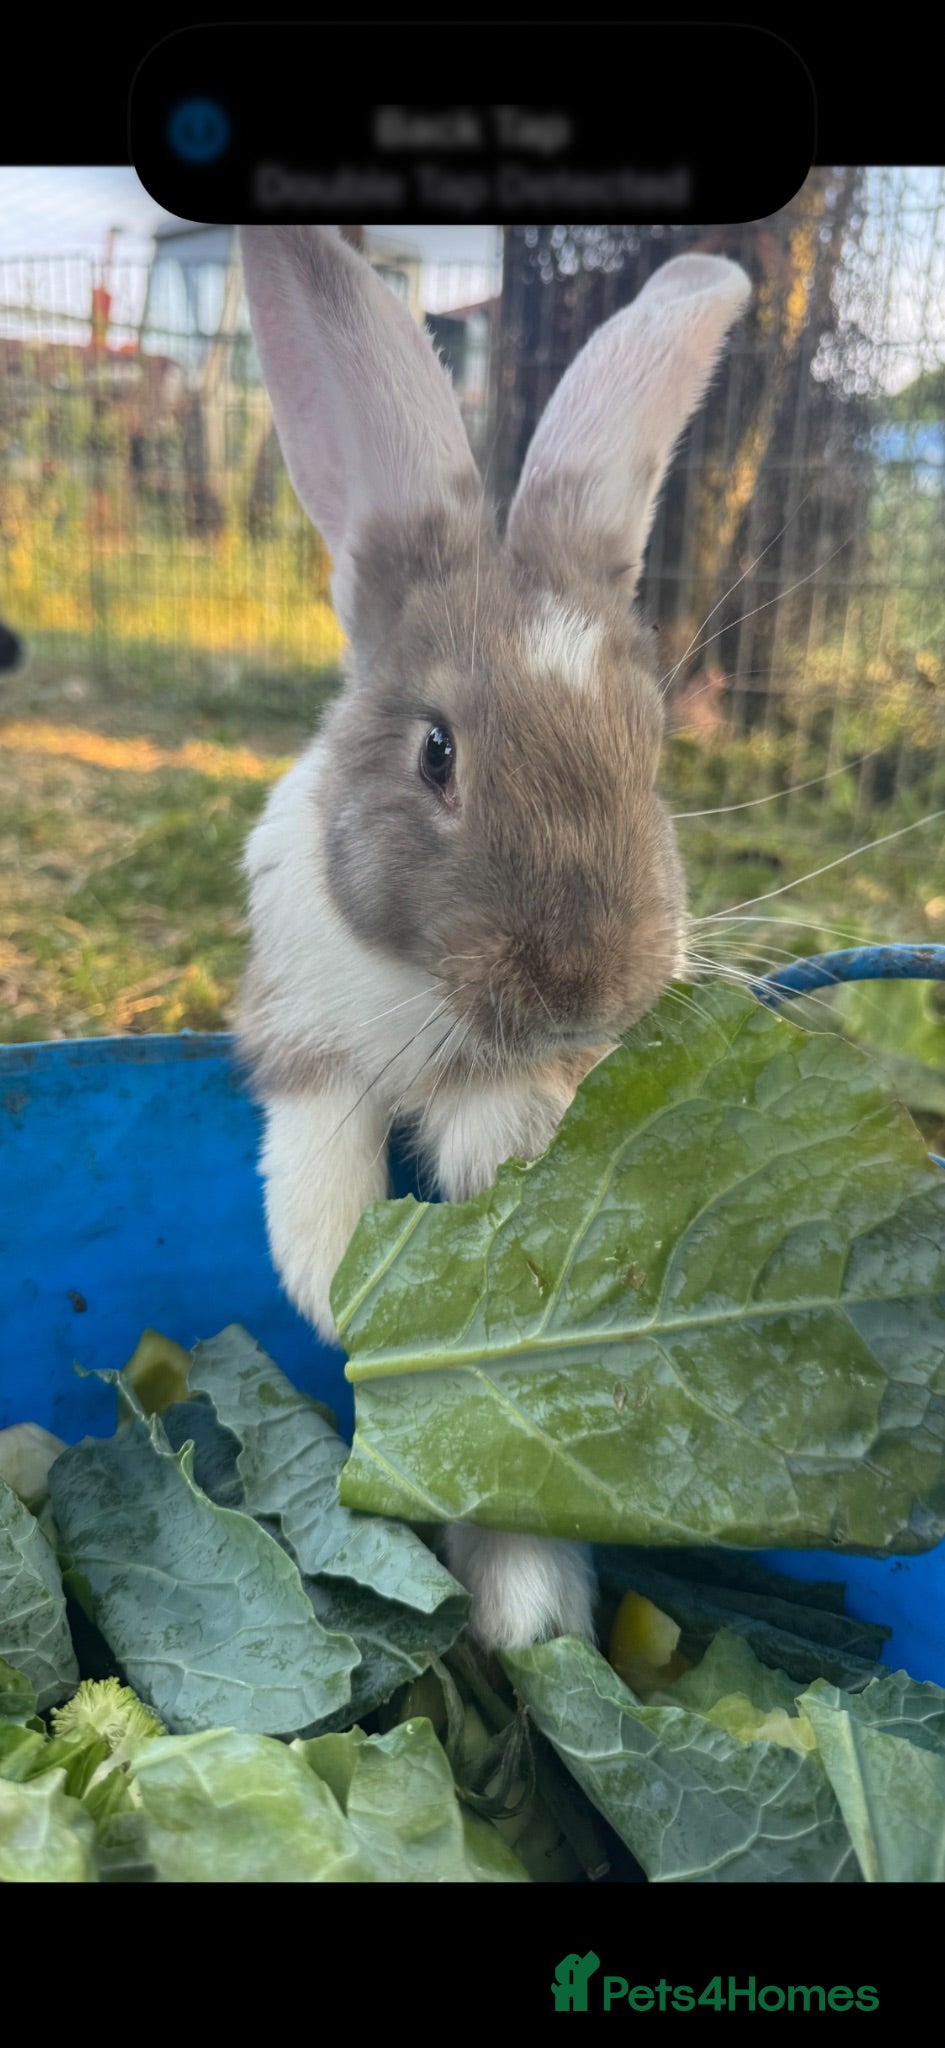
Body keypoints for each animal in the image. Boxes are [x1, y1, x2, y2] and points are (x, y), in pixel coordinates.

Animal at [237, 225, 750, 1652]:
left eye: (651, 753)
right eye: (437, 752)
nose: (585, 981)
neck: (429, 1000)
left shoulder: (532, 1081)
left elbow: (502, 1134)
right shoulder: (298, 1032)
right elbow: (315, 1173)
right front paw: (342, 1294)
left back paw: (532, 1628)